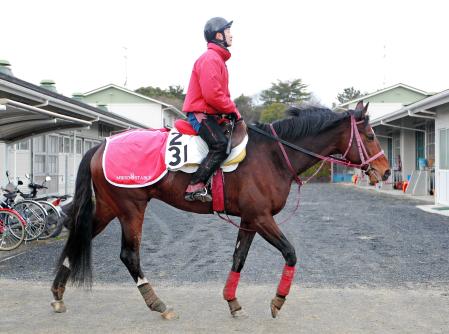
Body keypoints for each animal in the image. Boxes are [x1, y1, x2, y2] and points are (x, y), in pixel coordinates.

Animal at [50, 100, 390, 320]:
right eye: (371, 135)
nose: (386, 172)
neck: (273, 155)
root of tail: (100, 145)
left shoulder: (250, 220)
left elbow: (239, 259)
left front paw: (232, 301)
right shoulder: (262, 218)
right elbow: (290, 253)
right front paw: (278, 300)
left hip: (109, 208)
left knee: (77, 238)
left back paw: (57, 295)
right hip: (131, 208)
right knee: (129, 255)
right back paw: (158, 304)